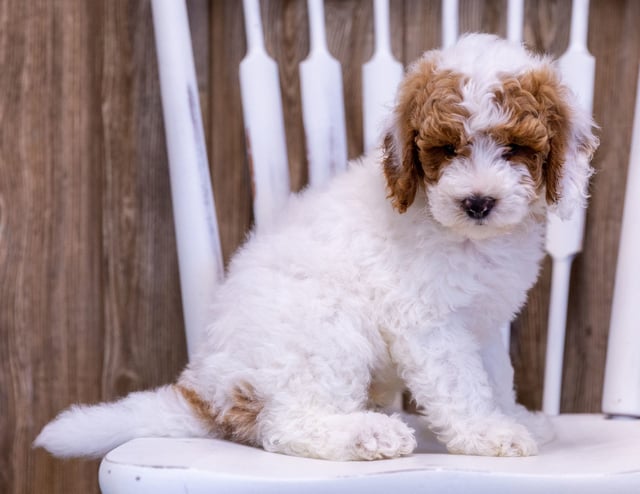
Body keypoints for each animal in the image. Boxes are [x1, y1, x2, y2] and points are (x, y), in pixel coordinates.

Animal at [35, 33, 596, 460]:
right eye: (446, 149)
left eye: (515, 149)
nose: (477, 202)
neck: (462, 234)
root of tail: (206, 389)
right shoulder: (429, 322)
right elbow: (460, 383)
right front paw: (489, 432)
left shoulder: (484, 319)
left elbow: (496, 374)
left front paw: (513, 415)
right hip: (324, 333)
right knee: (287, 425)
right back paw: (369, 433)